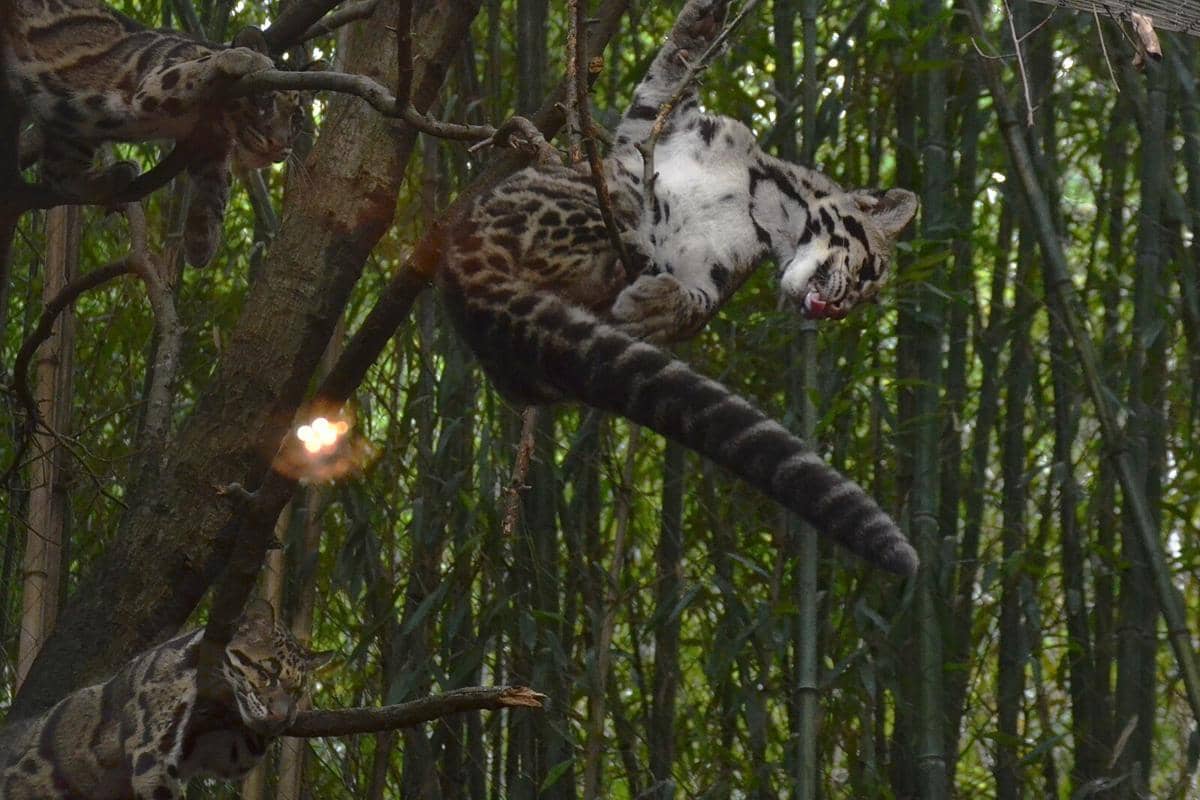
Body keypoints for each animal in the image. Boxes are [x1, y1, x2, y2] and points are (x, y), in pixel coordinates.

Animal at [1, 0, 305, 266]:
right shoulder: (155, 82)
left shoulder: (210, 144)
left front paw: (202, 237)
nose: (280, 146)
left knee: (57, 170)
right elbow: (200, 66)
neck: (220, 120)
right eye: (265, 98)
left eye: (298, 120)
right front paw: (245, 58)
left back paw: (111, 177)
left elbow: (218, 184)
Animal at [437, 0, 920, 575]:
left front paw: (658, 306)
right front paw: (700, 21)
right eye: (869, 275)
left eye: (862, 300)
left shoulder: (715, 268)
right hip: (596, 194)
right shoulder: (653, 134)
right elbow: (662, 80)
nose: (835, 311)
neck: (762, 201)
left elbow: (696, 303)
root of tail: (461, 273)